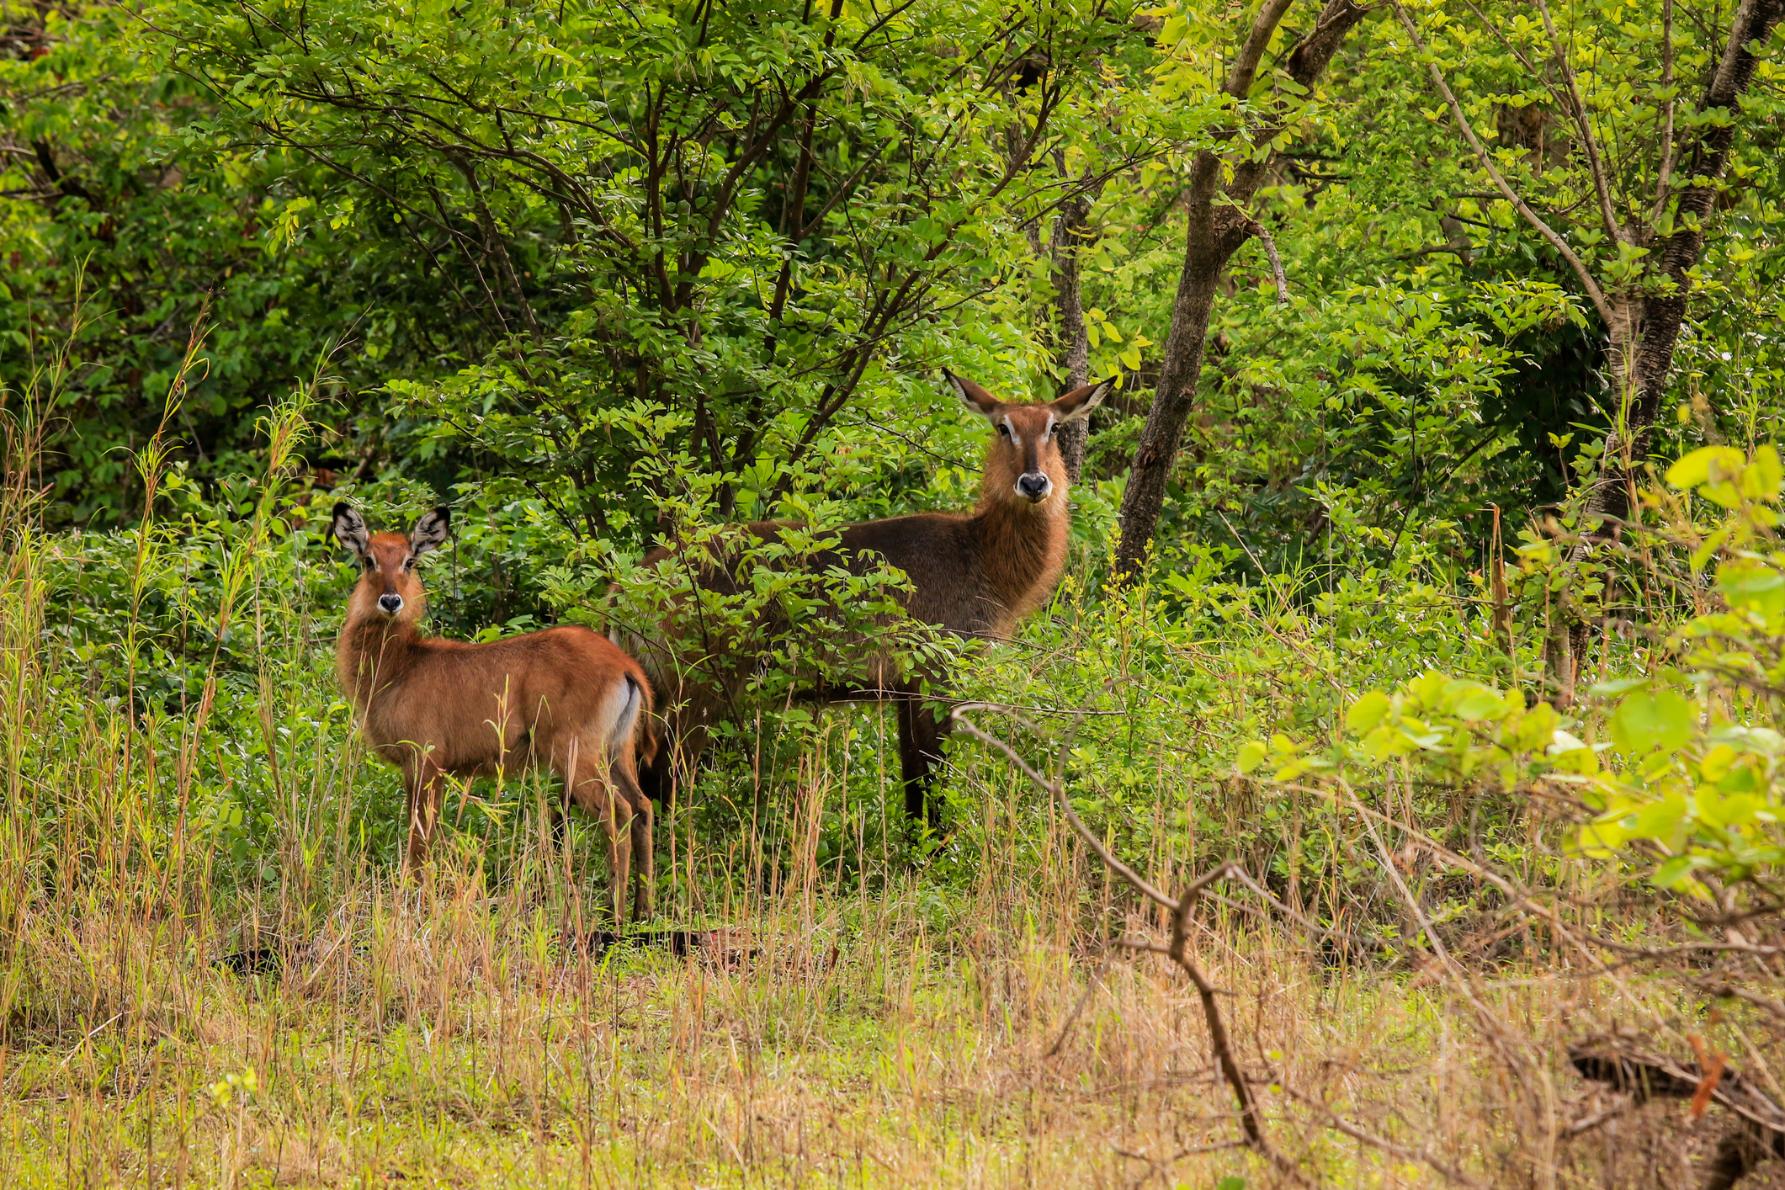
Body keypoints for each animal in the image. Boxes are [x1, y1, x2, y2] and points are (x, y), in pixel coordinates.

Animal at [333, 503, 656, 920]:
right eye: (368, 559)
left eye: (409, 561)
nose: (391, 601)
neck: (400, 666)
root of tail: (625, 667)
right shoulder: (425, 770)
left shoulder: (426, 761)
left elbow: (419, 840)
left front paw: (416, 907)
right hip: (616, 752)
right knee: (642, 806)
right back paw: (642, 913)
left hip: (576, 754)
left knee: (618, 813)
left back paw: (613, 916)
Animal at [635, 372, 1106, 827]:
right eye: (1002, 427)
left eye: (1053, 427)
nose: (1034, 483)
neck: (977, 552)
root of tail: (635, 580)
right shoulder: (935, 677)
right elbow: (932, 781)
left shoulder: (903, 690)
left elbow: (914, 785)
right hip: (699, 689)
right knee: (660, 778)